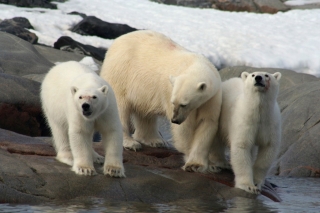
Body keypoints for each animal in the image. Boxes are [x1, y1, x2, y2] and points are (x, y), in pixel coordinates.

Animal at [100, 30, 222, 173]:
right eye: (173, 102)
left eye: (184, 104)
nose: (174, 120)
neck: (194, 65)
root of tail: (116, 42)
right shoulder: (170, 91)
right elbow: (185, 129)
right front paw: (190, 158)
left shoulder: (211, 99)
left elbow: (207, 123)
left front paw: (202, 164)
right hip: (121, 75)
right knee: (120, 108)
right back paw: (131, 143)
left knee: (145, 113)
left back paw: (155, 141)